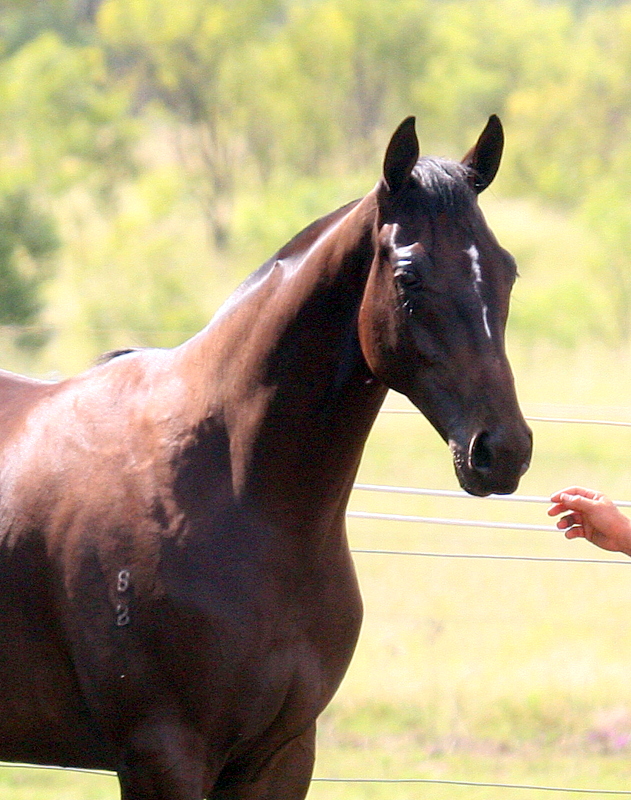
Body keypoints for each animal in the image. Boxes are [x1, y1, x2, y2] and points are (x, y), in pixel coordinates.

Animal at [0, 115, 532, 799]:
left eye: (506, 270)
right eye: (408, 277)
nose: (503, 450)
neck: (232, 494)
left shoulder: (281, 753)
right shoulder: (163, 756)